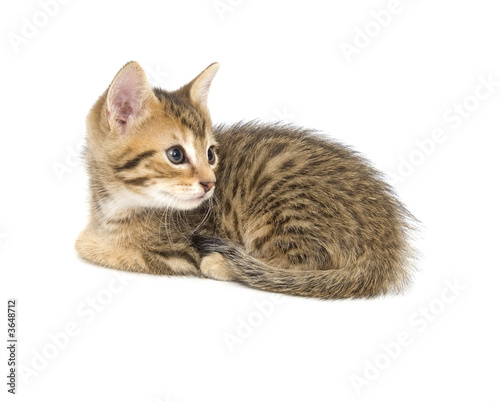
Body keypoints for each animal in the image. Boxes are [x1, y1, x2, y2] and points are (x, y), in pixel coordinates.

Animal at [75, 60, 418, 298]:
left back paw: (221, 264)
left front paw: (92, 241)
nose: (211, 183)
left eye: (210, 154)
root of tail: (387, 245)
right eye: (176, 155)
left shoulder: (179, 252)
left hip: (280, 206)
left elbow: (95, 248)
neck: (118, 203)